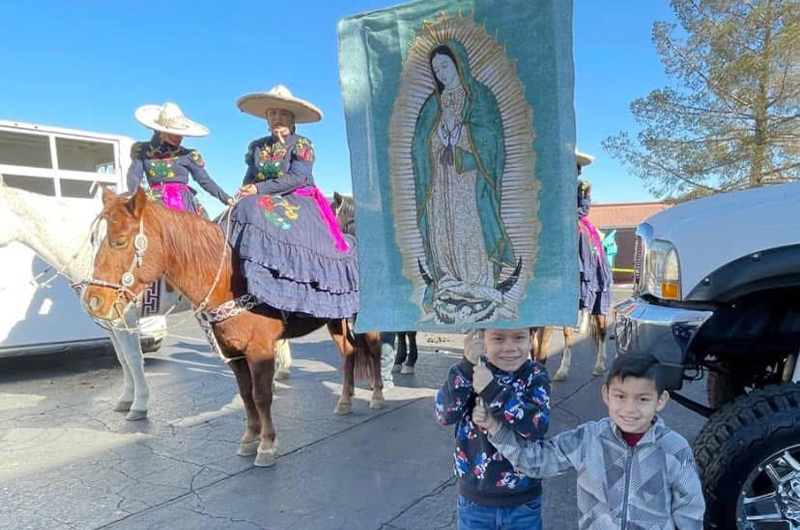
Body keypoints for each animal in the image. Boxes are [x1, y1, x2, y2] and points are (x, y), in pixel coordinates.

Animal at [0, 182, 189, 416]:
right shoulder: (110, 324)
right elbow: (123, 359)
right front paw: (126, 399)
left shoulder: (124, 320)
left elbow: (134, 359)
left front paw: (139, 405)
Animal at [83, 188, 382, 464]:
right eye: (95, 242)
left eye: (119, 241)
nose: (94, 300)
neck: (229, 277)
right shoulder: (234, 353)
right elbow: (246, 395)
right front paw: (250, 438)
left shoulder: (260, 350)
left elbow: (261, 395)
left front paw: (267, 445)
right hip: (335, 320)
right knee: (348, 353)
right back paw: (345, 400)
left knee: (375, 349)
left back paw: (377, 394)